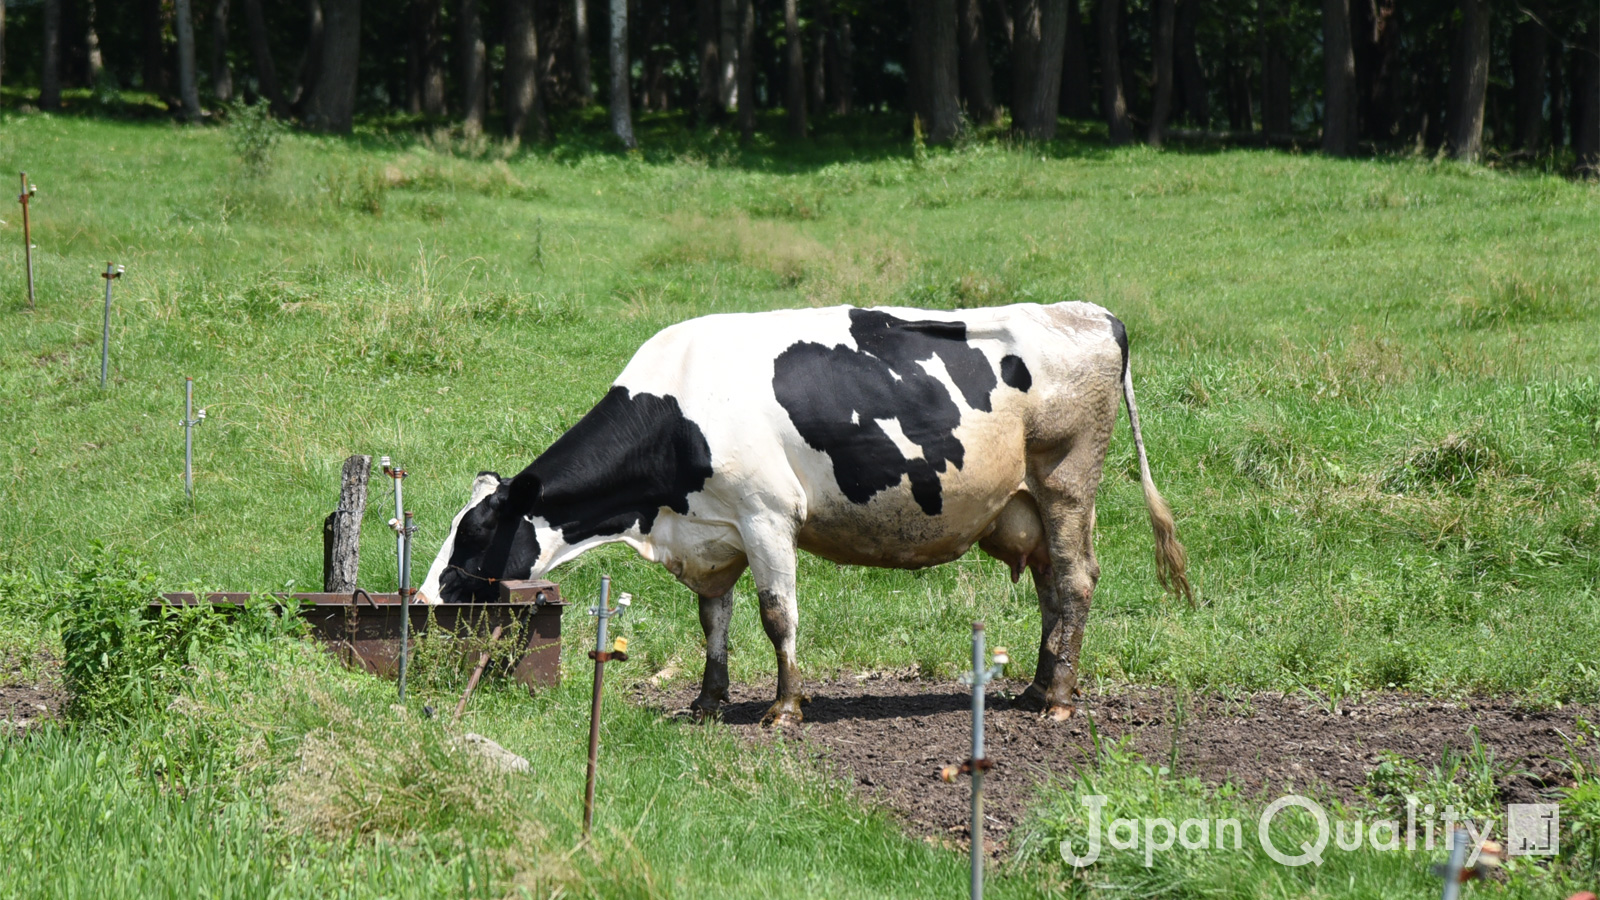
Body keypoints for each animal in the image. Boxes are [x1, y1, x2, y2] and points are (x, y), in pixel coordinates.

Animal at [416, 301, 1190, 720]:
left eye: (476, 533)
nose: (422, 598)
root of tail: (1091, 313)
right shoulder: (715, 532)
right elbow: (714, 620)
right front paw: (708, 702)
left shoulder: (766, 516)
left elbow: (776, 614)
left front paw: (784, 708)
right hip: (1027, 502)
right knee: (1051, 589)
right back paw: (1036, 686)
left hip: (1066, 482)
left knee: (1076, 580)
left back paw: (1057, 697)